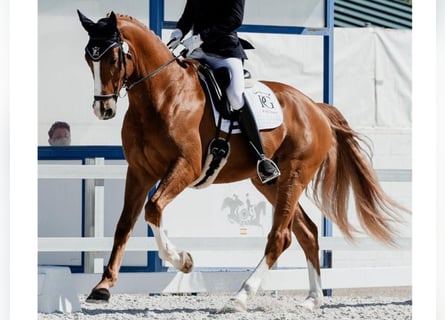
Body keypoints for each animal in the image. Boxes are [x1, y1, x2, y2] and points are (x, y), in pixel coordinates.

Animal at [77, 11, 406, 312]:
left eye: (114, 57)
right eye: (88, 58)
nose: (103, 109)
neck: (162, 95)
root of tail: (314, 107)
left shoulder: (186, 167)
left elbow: (154, 208)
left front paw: (183, 261)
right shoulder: (139, 172)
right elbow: (124, 224)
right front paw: (102, 287)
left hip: (295, 174)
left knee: (280, 236)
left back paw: (240, 297)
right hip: (269, 182)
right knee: (307, 232)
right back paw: (312, 299)